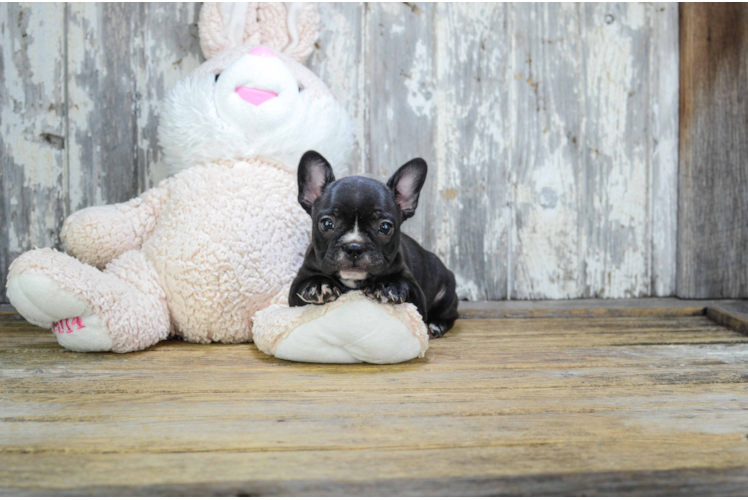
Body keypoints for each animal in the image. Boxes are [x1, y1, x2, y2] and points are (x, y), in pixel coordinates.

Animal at [288, 148, 458, 336]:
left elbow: (406, 285)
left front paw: (387, 286)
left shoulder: (418, 298)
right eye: (326, 224)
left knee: (451, 314)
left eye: (385, 227)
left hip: (446, 292)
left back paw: (437, 324)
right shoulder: (297, 285)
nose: (354, 247)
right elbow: (306, 283)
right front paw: (318, 285)